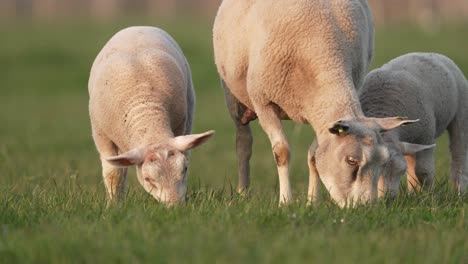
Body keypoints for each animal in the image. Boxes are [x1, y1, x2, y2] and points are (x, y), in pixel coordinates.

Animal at [88, 26, 215, 207]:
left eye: (185, 170)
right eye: (148, 179)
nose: (175, 207)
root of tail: (136, 27)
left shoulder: (180, 125)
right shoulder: (102, 136)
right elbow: (113, 174)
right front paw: (113, 206)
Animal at [212, 0, 410, 206]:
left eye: (384, 161)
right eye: (351, 161)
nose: (366, 207)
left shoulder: (321, 118)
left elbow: (314, 157)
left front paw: (312, 202)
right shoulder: (263, 102)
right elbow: (282, 152)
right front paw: (285, 201)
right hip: (233, 98)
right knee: (243, 144)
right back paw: (243, 193)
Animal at [360, 52, 466, 196]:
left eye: (400, 171)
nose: (388, 198)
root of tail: (429, 53)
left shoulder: (426, 136)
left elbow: (424, 171)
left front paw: (427, 194)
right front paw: (416, 193)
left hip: (461, 111)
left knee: (459, 152)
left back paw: (460, 191)